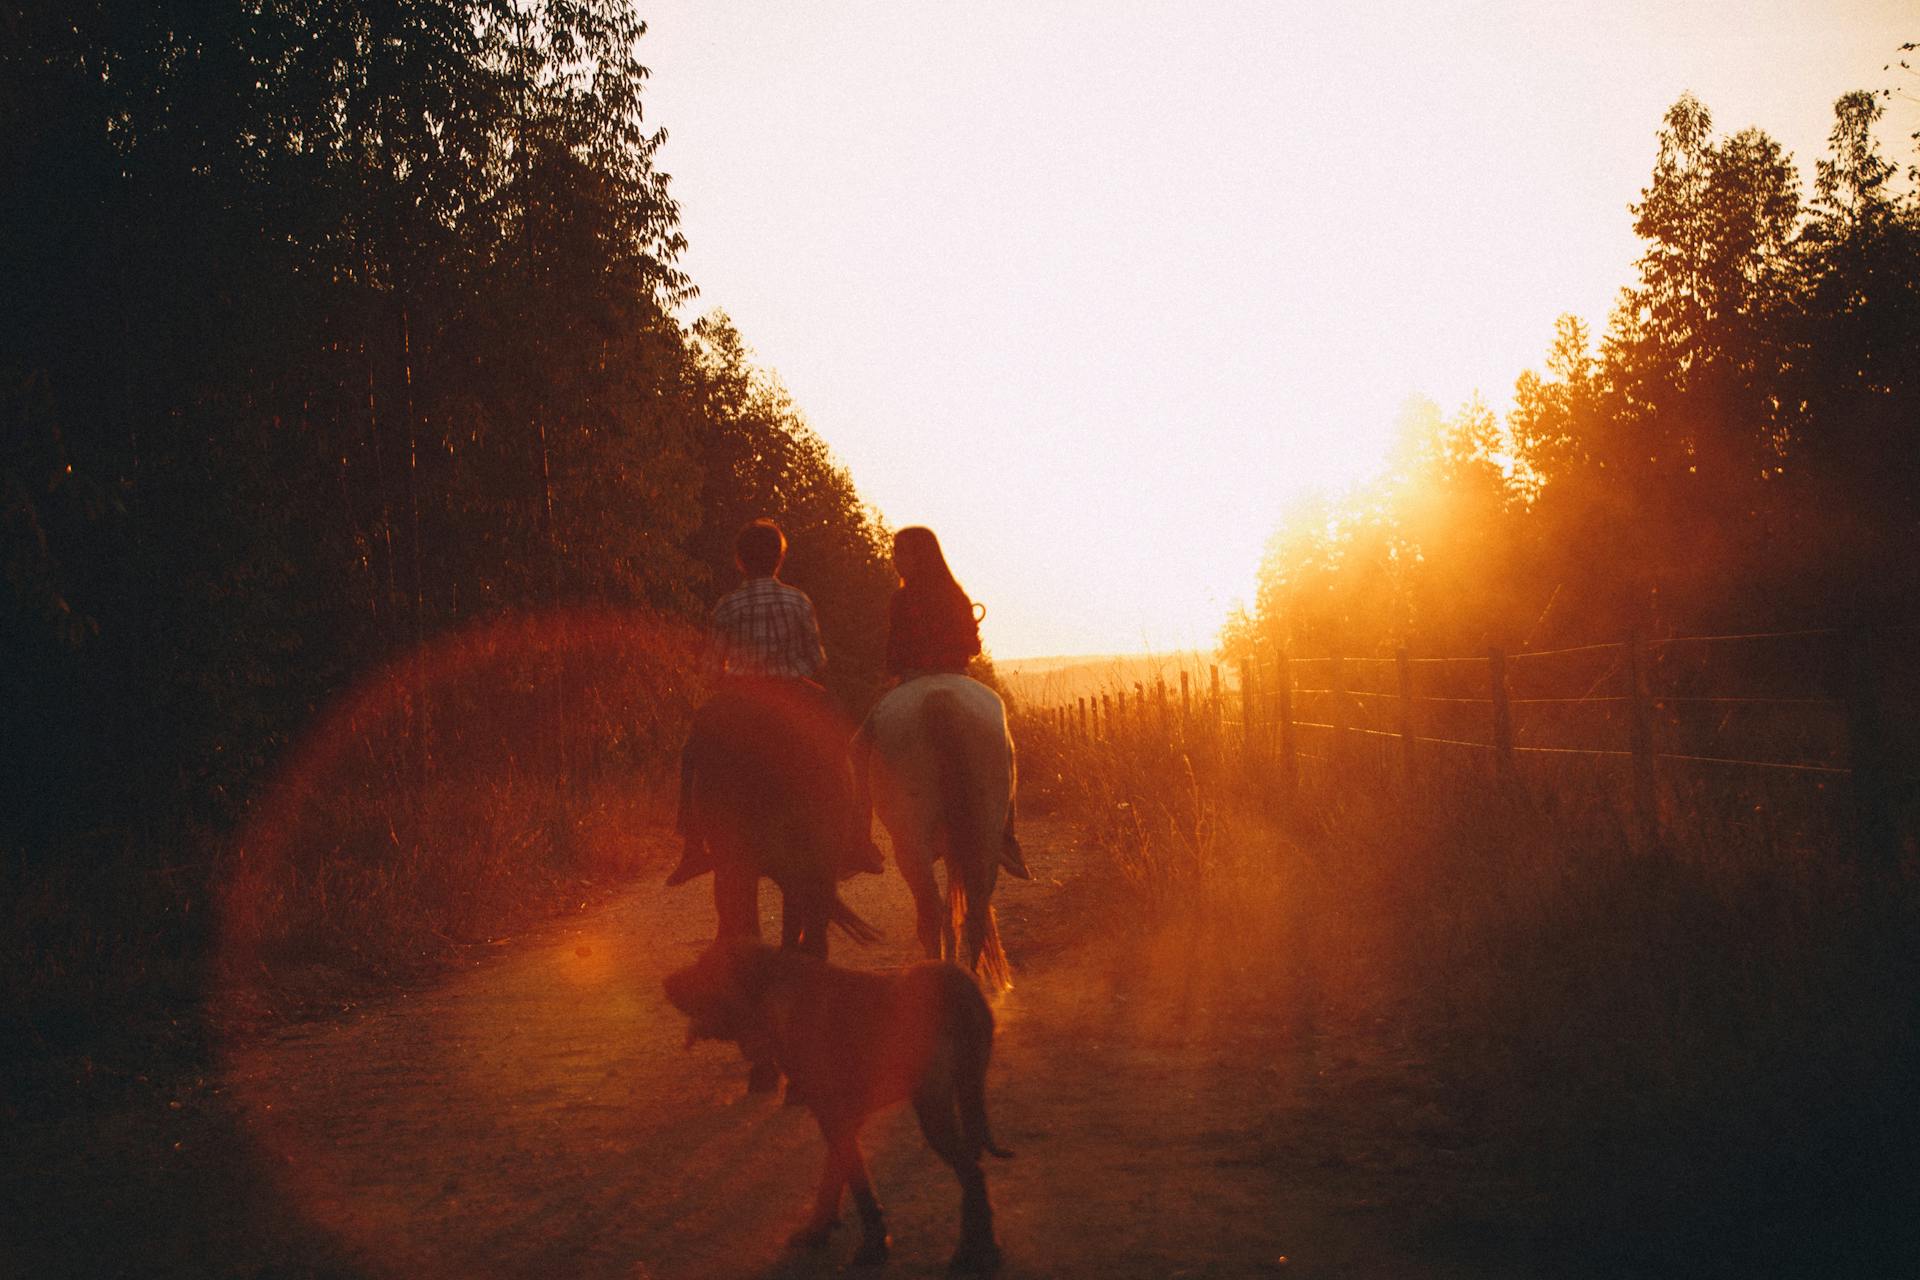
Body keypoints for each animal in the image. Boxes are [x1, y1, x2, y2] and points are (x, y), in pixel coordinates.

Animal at [867, 679, 1021, 990]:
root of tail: (939, 696)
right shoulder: (955, 849)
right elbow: (954, 913)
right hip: (983, 836)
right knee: (973, 906)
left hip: (911, 846)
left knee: (931, 915)